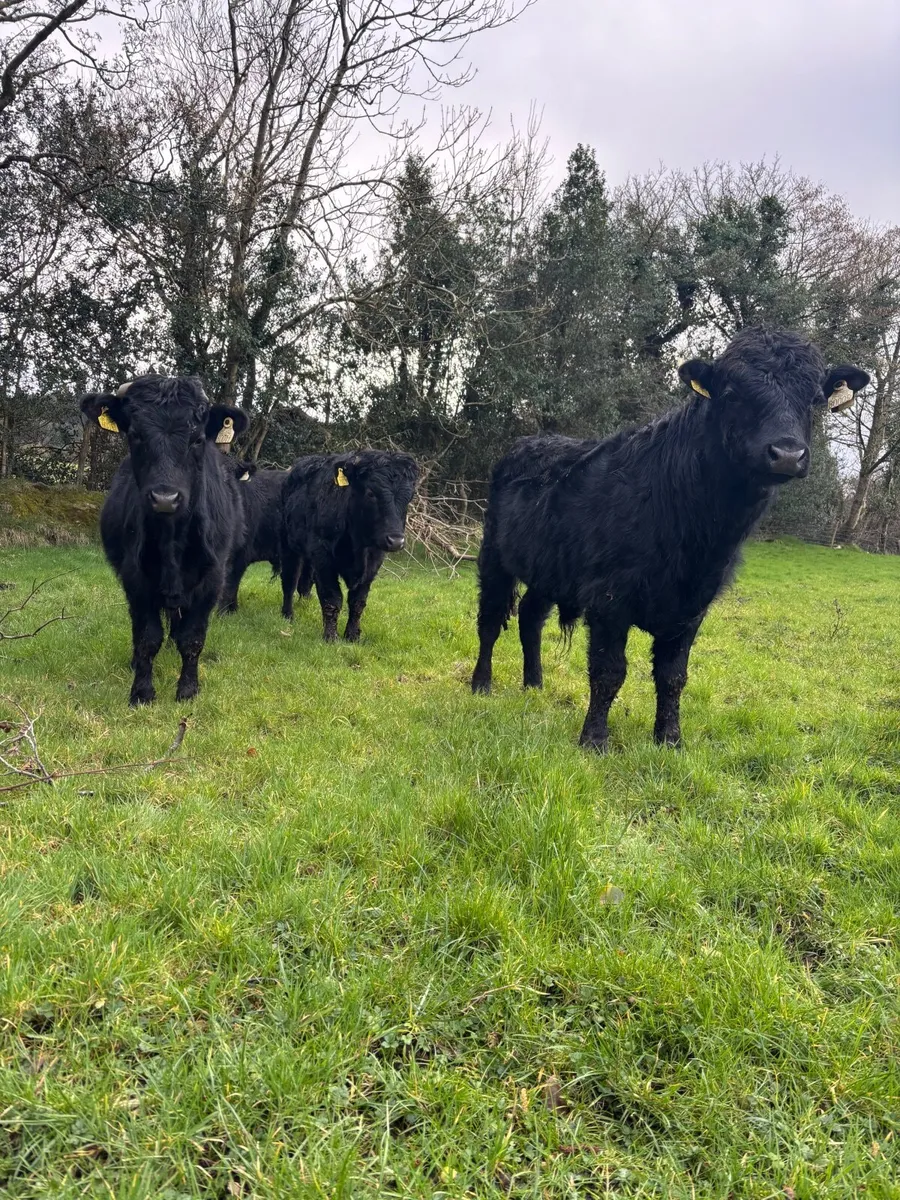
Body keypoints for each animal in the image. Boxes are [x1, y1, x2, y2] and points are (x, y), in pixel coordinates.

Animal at [80, 375, 248, 705]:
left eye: (197, 439)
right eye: (135, 435)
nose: (165, 498)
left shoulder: (212, 579)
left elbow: (192, 638)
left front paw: (188, 689)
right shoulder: (135, 578)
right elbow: (147, 637)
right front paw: (142, 691)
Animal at [280, 450, 419, 641]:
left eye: (409, 497)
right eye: (371, 493)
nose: (396, 540)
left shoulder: (374, 561)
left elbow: (358, 601)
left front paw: (353, 636)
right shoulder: (323, 556)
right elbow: (332, 598)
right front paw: (331, 636)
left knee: (306, 581)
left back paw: (305, 602)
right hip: (290, 546)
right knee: (290, 580)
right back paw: (288, 614)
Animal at [471, 327, 870, 750]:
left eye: (814, 400)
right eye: (732, 393)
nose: (788, 453)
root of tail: (533, 440)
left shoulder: (693, 607)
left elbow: (673, 676)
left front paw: (670, 739)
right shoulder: (609, 599)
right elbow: (609, 671)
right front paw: (594, 740)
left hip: (548, 568)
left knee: (531, 617)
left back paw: (534, 685)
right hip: (493, 555)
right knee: (490, 621)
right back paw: (481, 684)